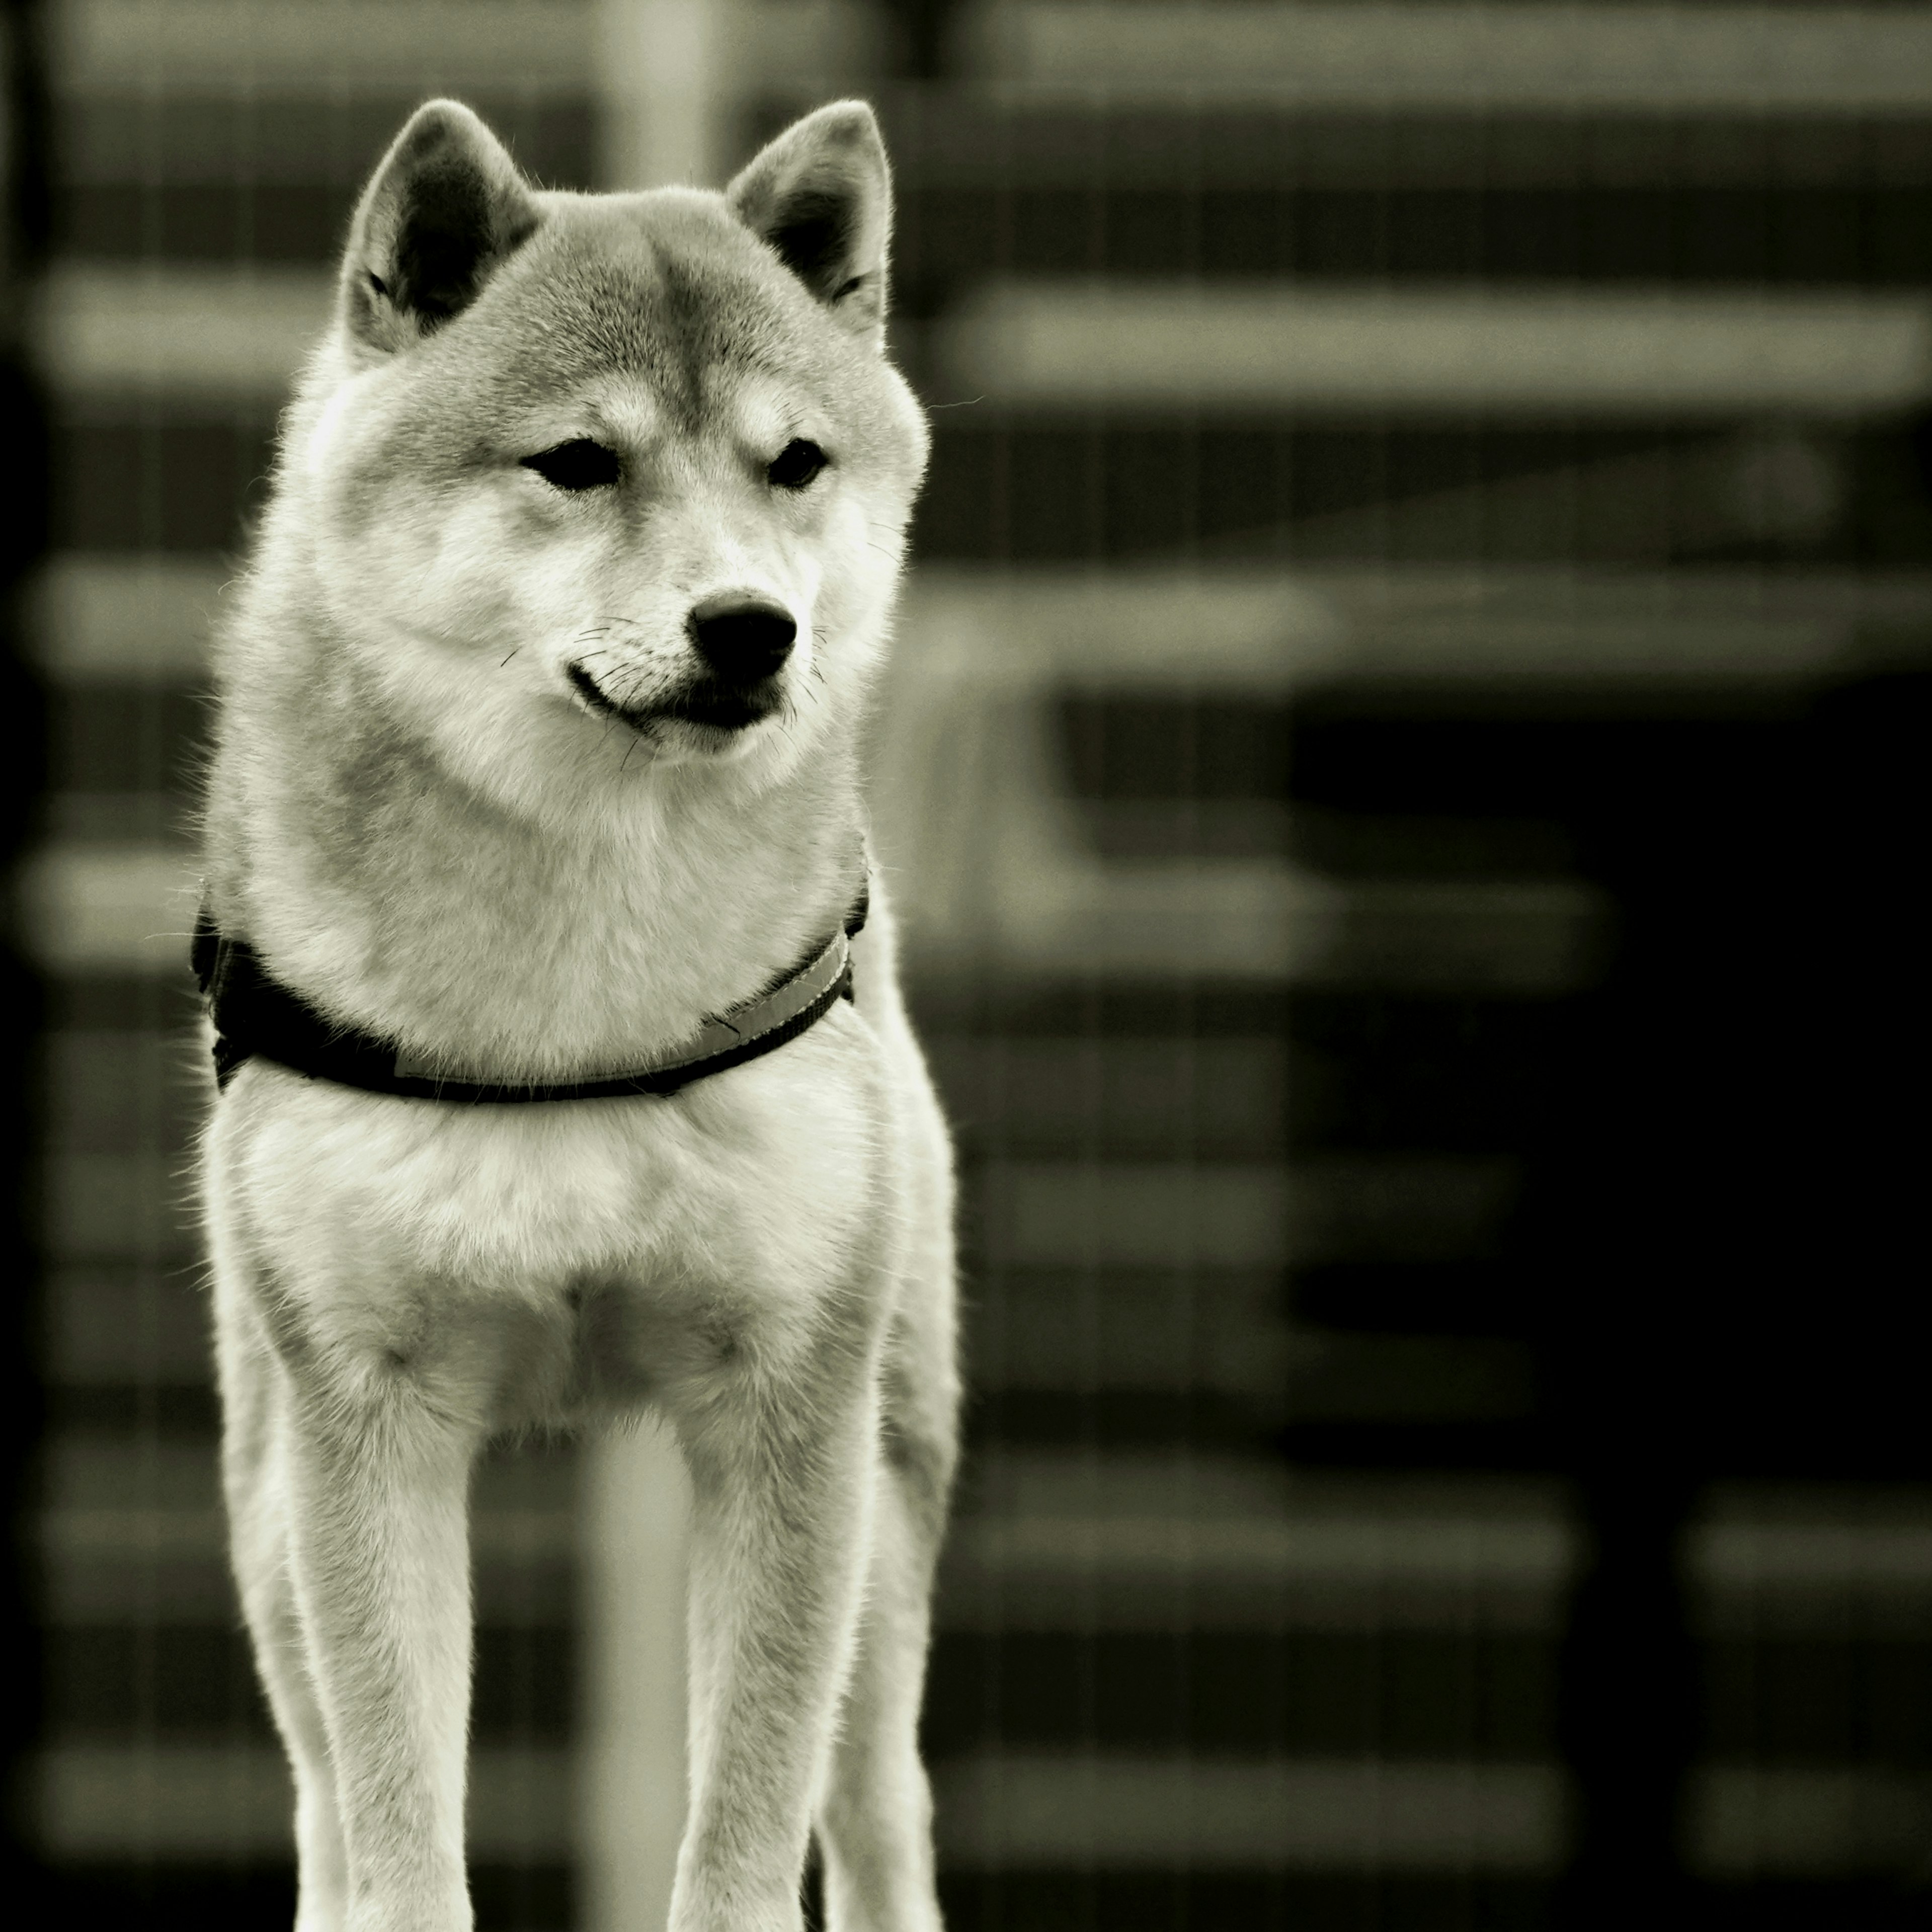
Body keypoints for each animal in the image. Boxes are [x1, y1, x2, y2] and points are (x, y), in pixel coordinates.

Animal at [192, 102, 962, 1932]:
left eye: (795, 463)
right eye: (576, 464)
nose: (750, 628)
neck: (579, 1006)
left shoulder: (789, 1413)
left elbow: (748, 1833)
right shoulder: (366, 1424)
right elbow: (396, 1827)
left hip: (893, 1484)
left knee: (878, 1806)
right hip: (266, 1502)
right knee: (321, 1798)